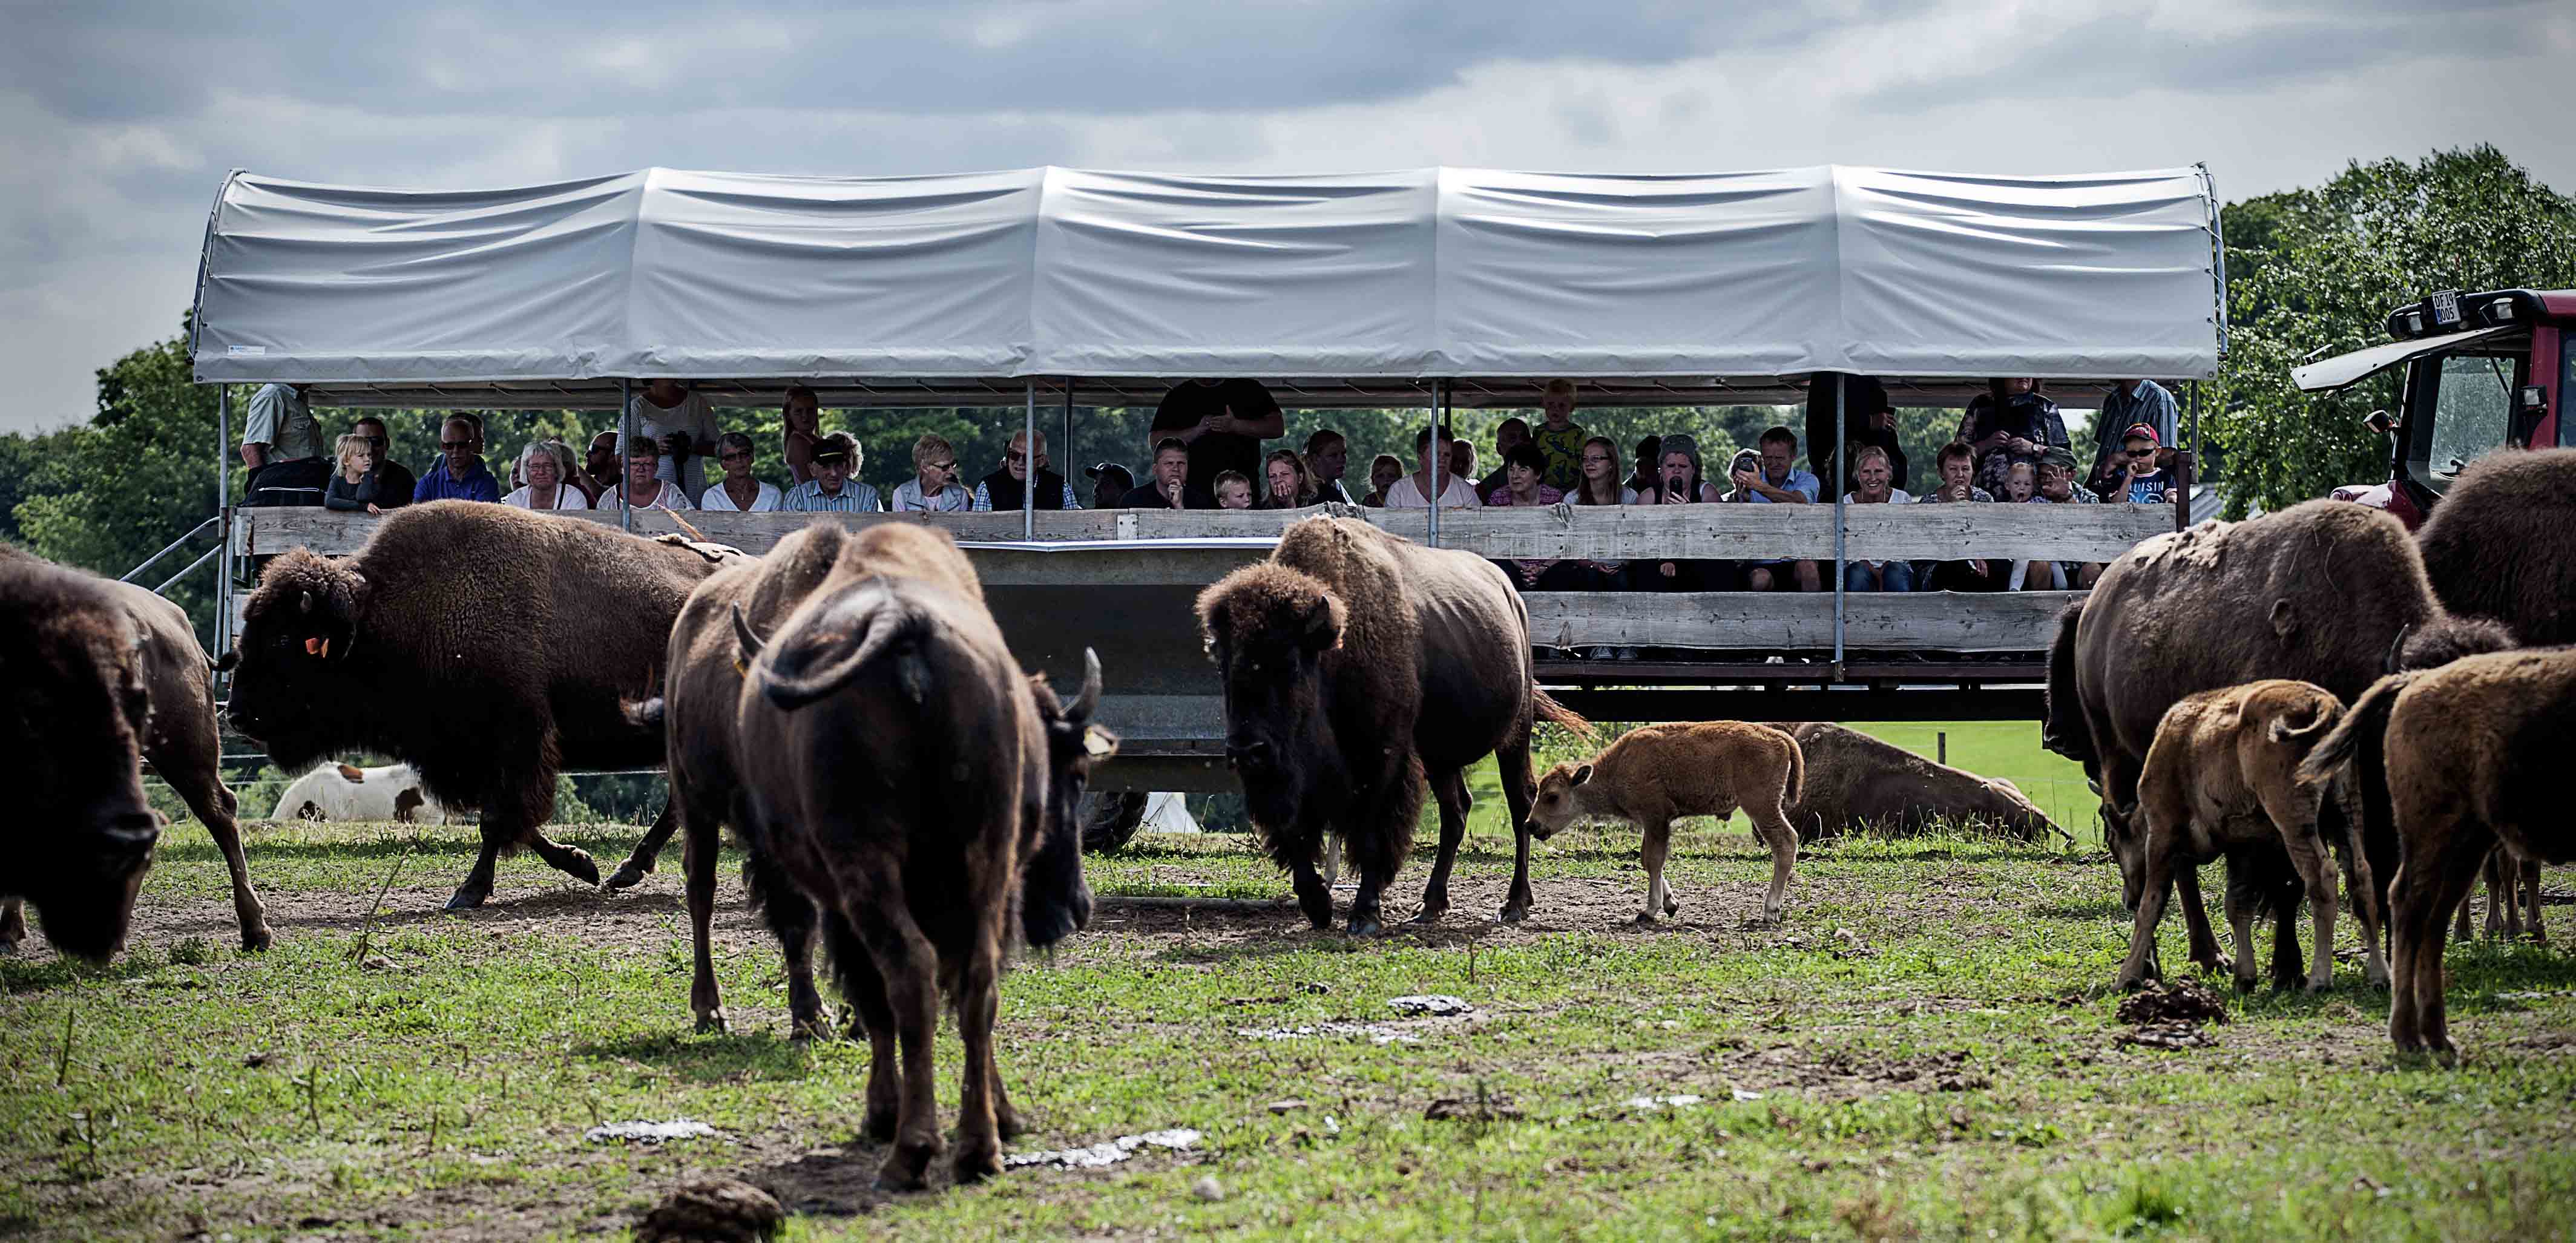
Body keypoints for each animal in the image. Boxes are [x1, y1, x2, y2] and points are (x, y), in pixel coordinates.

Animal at [225, 502, 743, 909]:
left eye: (285, 640)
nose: (235, 714)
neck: (388, 611)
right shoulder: (468, 757)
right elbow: (513, 822)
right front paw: (582, 864)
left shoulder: (513, 742)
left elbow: (499, 820)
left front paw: (468, 893)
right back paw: (625, 871)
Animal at [1197, 517, 1589, 937]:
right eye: (1224, 665)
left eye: (1290, 664)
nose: (1246, 751)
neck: (1333, 652)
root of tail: (1511, 594)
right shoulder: (1293, 780)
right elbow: (1295, 832)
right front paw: (1318, 906)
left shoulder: (1382, 761)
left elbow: (1373, 835)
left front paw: (1364, 916)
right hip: (1439, 755)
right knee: (1456, 811)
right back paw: (1430, 906)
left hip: (1514, 734)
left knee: (1520, 806)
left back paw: (1514, 904)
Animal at [2301, 647, 2574, 1055]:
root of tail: (2416, 680)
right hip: (2440, 833)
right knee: (2412, 904)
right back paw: (2414, 1034)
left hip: (2465, 842)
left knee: (2435, 911)